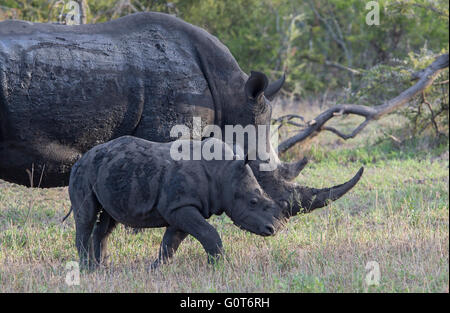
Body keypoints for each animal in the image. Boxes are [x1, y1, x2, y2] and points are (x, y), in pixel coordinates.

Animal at [68, 135, 280, 266]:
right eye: (253, 202)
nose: (272, 228)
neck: (224, 173)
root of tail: (80, 158)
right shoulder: (180, 206)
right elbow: (208, 233)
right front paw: (221, 266)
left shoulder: (181, 206)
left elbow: (171, 242)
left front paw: (156, 268)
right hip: (83, 171)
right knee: (86, 217)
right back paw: (87, 268)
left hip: (106, 172)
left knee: (107, 221)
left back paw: (102, 267)